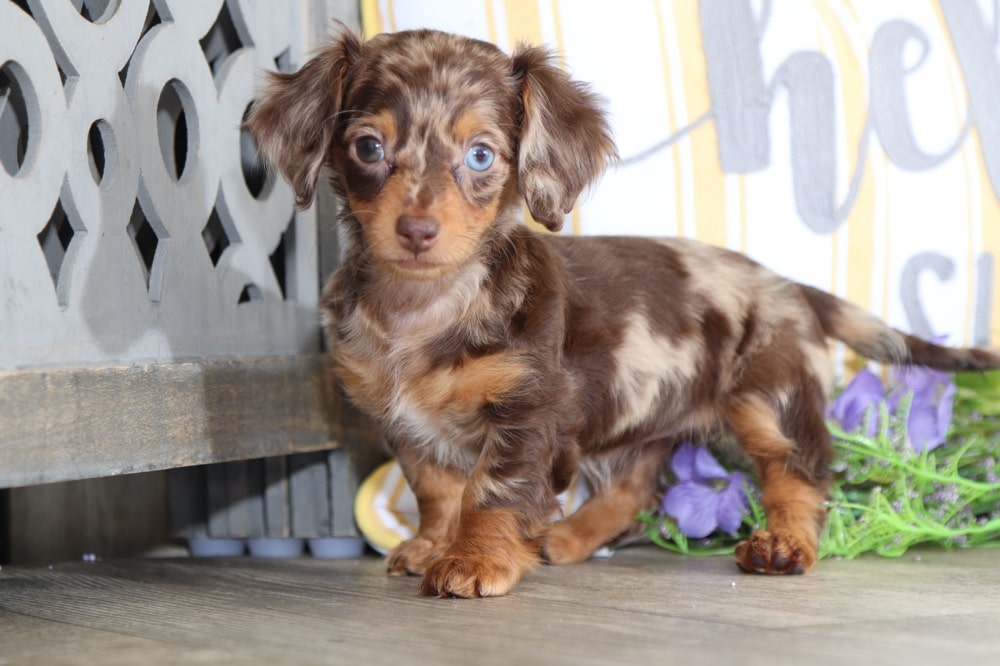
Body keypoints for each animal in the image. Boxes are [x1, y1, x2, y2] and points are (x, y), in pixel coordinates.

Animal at [244, 27, 1000, 596]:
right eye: (369, 147)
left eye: (481, 155)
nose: (417, 231)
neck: (426, 308)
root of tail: (787, 282)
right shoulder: (407, 426)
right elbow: (438, 490)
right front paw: (434, 545)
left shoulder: (525, 415)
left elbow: (492, 490)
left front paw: (477, 559)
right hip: (643, 416)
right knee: (636, 489)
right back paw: (564, 536)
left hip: (765, 397)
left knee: (800, 472)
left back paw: (784, 543)